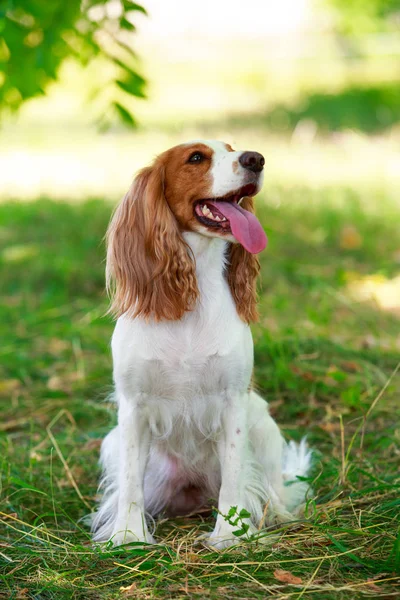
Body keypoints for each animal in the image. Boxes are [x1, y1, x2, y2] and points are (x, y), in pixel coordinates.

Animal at [90, 139, 312, 548]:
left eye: (232, 147)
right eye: (195, 158)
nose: (256, 159)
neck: (193, 293)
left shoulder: (233, 403)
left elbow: (235, 479)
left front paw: (229, 536)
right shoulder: (133, 406)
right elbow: (130, 484)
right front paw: (129, 536)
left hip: (264, 425)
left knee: (273, 490)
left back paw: (280, 517)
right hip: (111, 442)